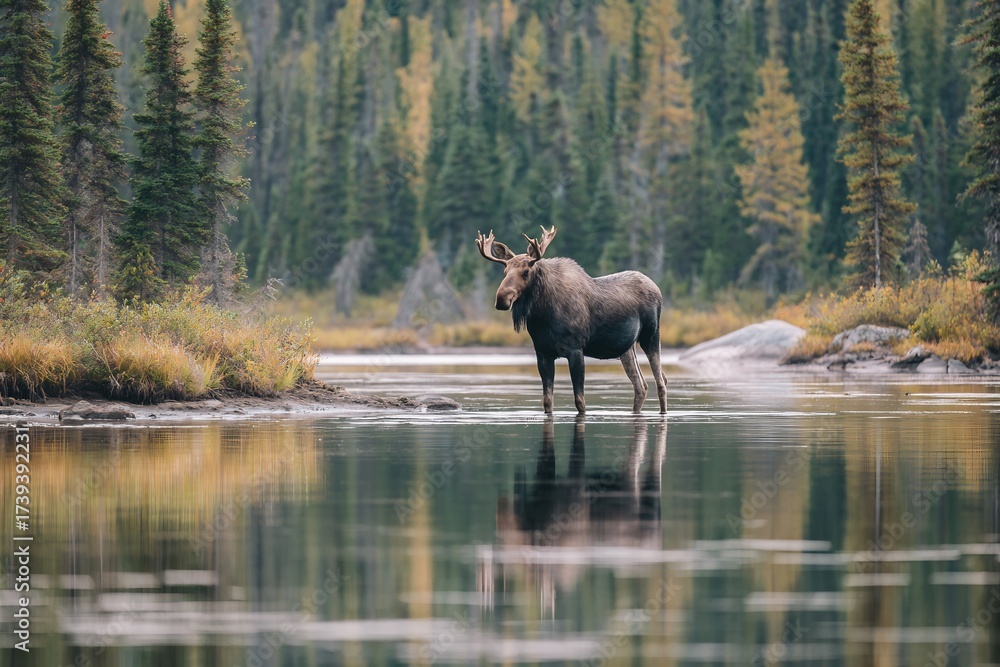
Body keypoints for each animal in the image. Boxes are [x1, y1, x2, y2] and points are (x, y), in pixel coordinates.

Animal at [476, 226, 666, 414]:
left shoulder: (575, 349)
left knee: (661, 381)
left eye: (525, 272)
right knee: (641, 385)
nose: (501, 299)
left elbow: (580, 402)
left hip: (651, 335)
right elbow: (547, 401)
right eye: (505, 271)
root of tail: (657, 288)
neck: (542, 316)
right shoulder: (543, 353)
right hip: (627, 348)